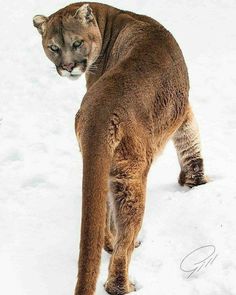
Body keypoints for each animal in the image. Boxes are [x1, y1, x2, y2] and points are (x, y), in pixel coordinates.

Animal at [32, 2, 206, 295]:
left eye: (77, 43)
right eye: (53, 47)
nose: (67, 66)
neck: (110, 20)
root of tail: (102, 109)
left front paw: (195, 183)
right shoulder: (183, 112)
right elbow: (190, 141)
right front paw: (195, 183)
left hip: (105, 167)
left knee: (104, 215)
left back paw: (111, 248)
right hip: (131, 174)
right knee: (124, 236)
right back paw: (121, 280)